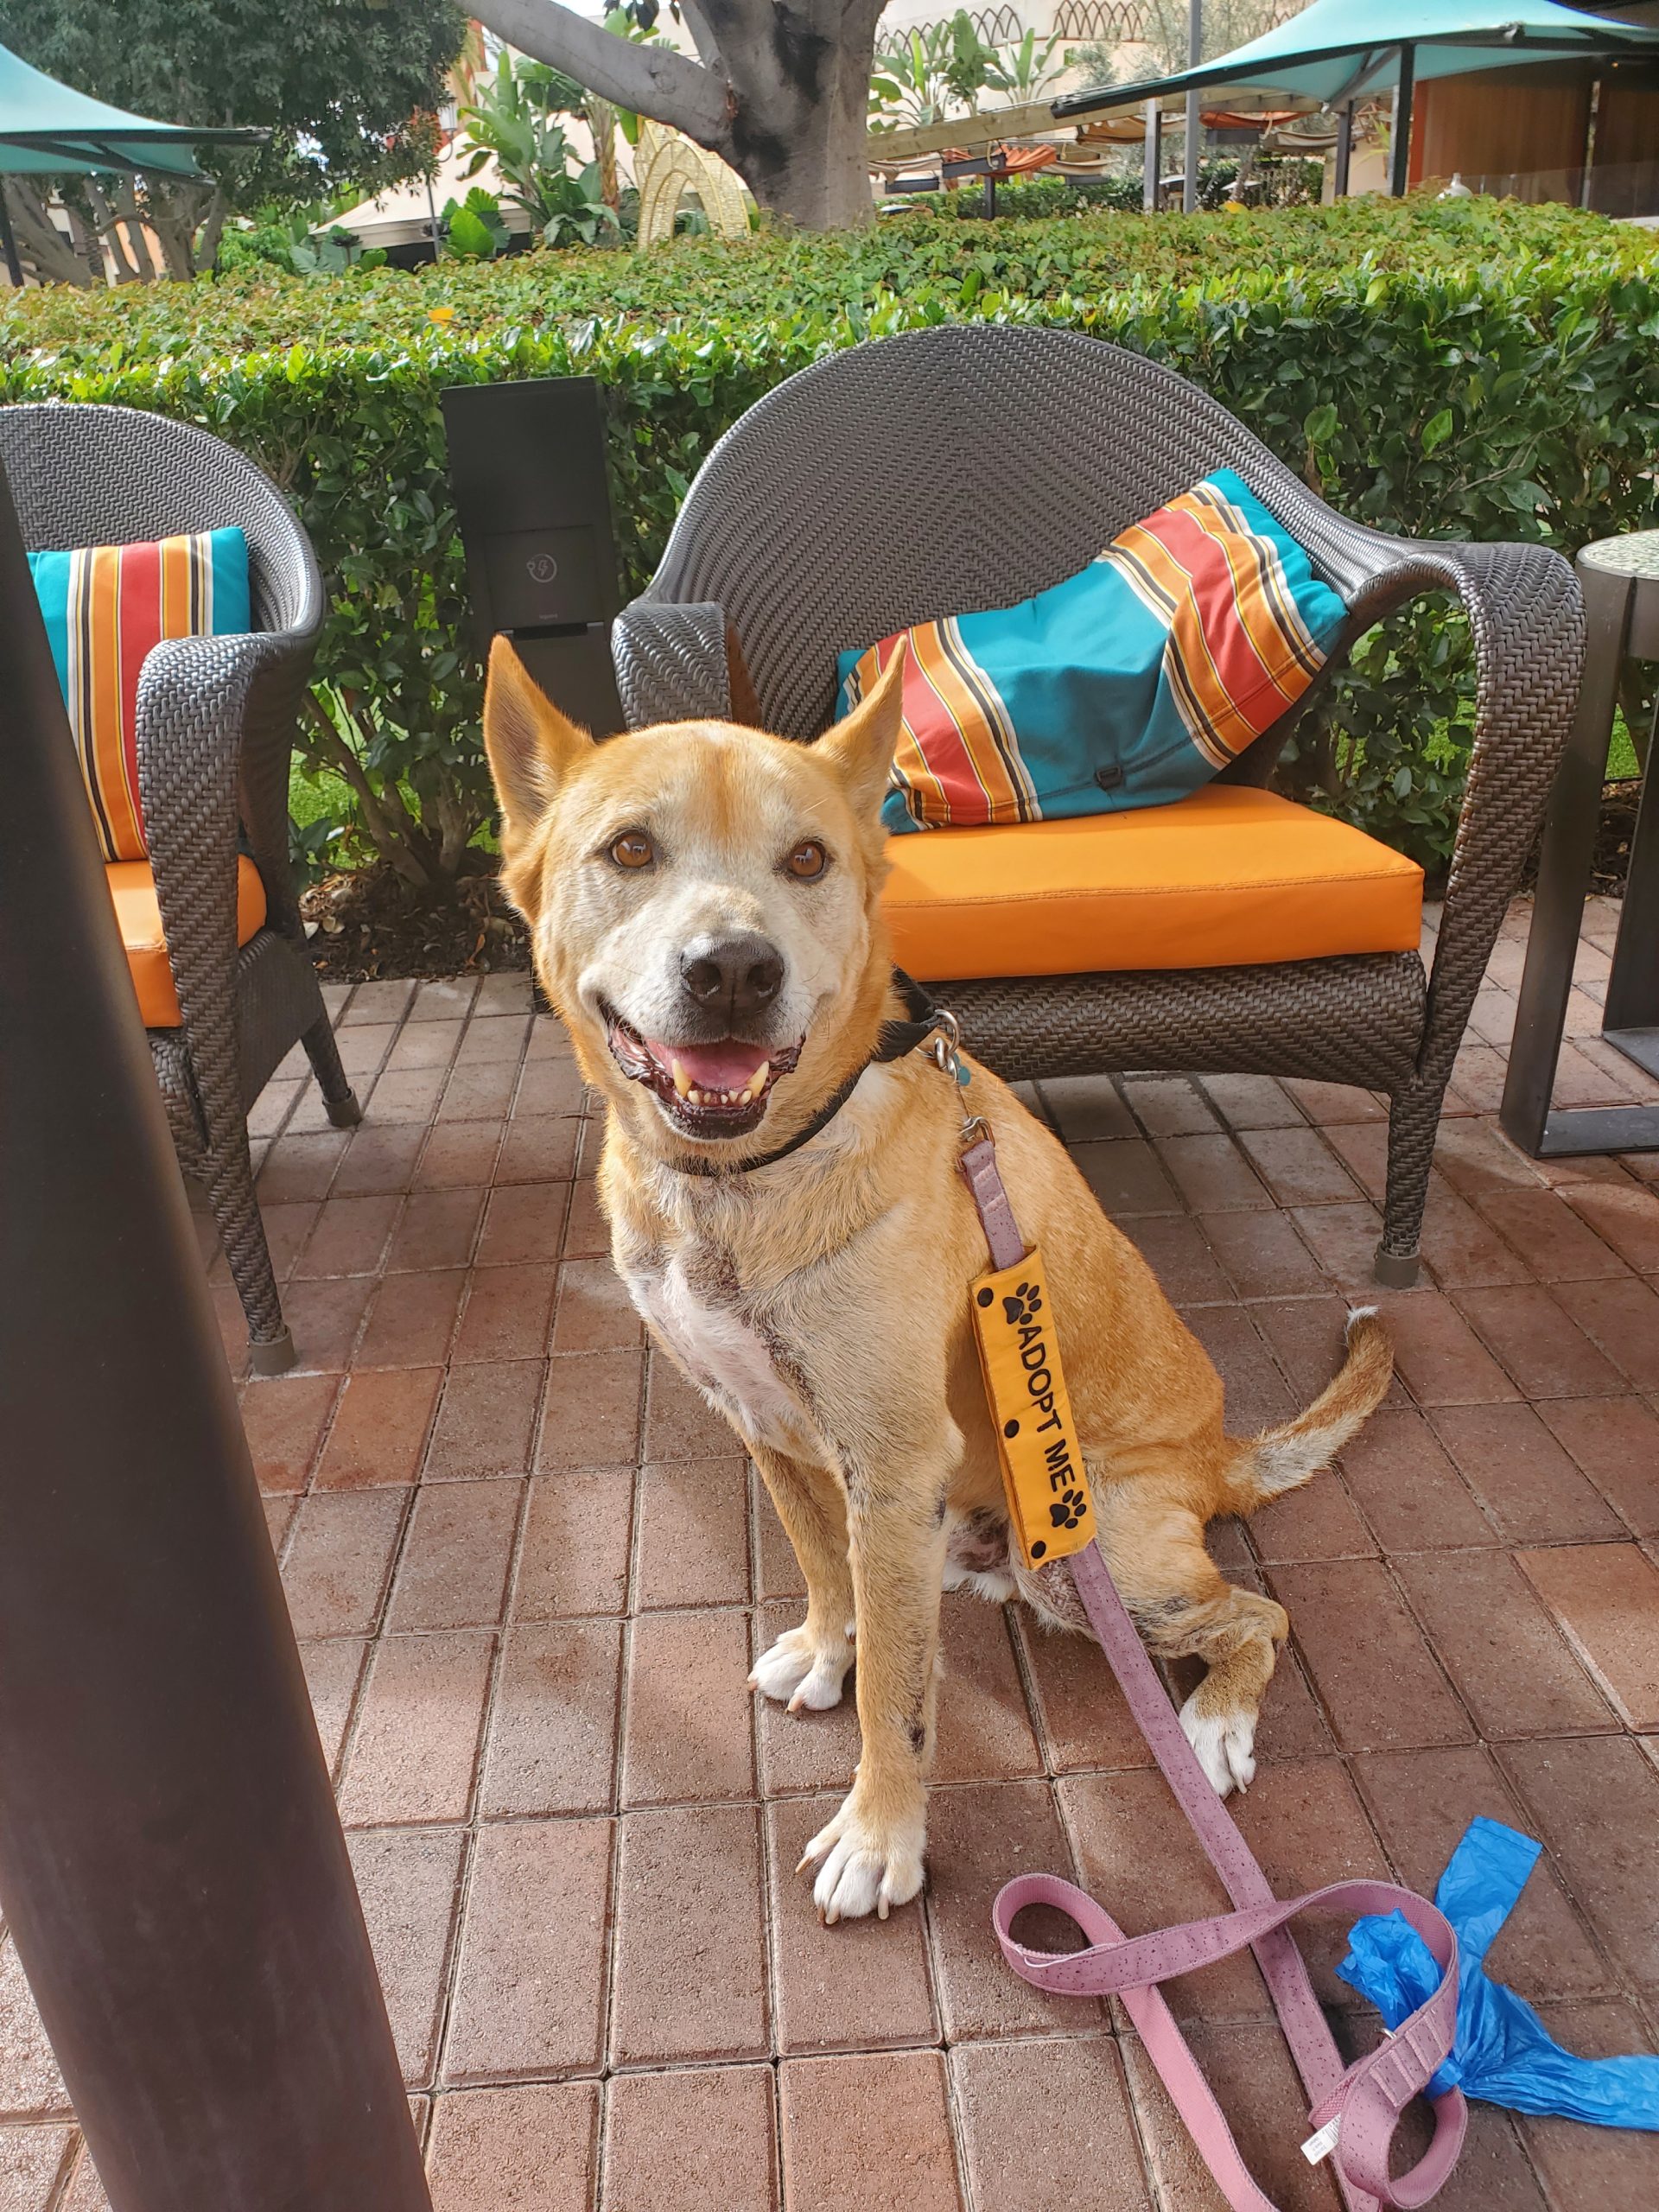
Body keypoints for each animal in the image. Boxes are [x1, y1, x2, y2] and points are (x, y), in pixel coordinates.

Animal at [486, 637, 1397, 1920]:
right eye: (628, 850)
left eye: (807, 858)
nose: (734, 971)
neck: (745, 1179)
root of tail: (1219, 1459)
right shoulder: (770, 1431)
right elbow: (826, 1573)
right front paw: (828, 1650)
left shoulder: (888, 1462)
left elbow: (900, 1699)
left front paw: (881, 1838)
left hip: (1095, 1552)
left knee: (1258, 1610)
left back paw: (1214, 1726)